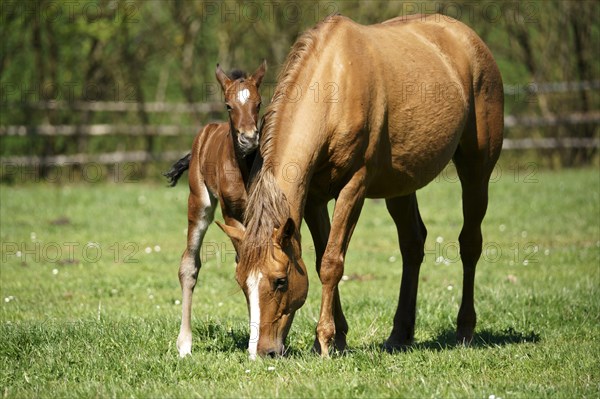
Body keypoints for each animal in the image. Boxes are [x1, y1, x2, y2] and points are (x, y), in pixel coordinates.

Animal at [165, 61, 266, 358]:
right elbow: (244, 264)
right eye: (228, 105)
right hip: (199, 203)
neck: (243, 168)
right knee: (189, 265)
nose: (248, 139)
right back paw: (184, 344)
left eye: (259, 103)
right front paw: (254, 343)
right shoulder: (231, 215)